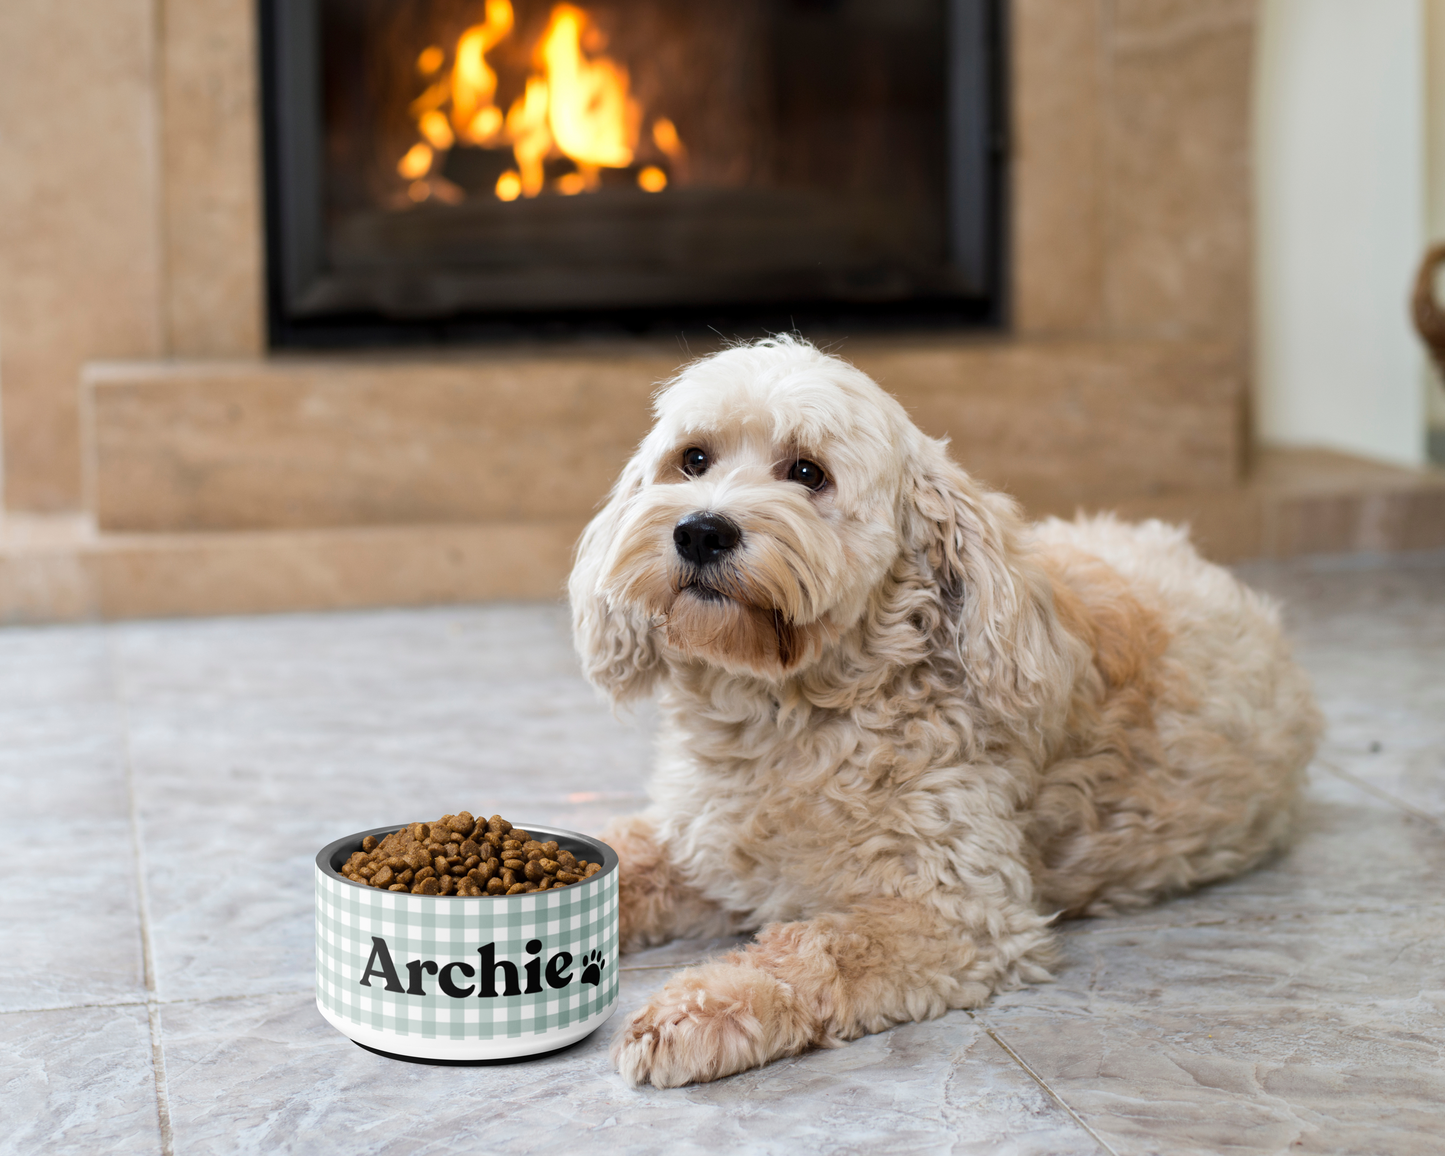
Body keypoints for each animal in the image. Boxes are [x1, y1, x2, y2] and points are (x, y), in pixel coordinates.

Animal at [569, 332, 1323, 1086]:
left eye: (808, 473)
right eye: (693, 459)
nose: (700, 531)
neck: (791, 714)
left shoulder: (959, 912)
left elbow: (816, 950)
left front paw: (697, 1010)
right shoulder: (698, 844)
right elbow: (628, 865)